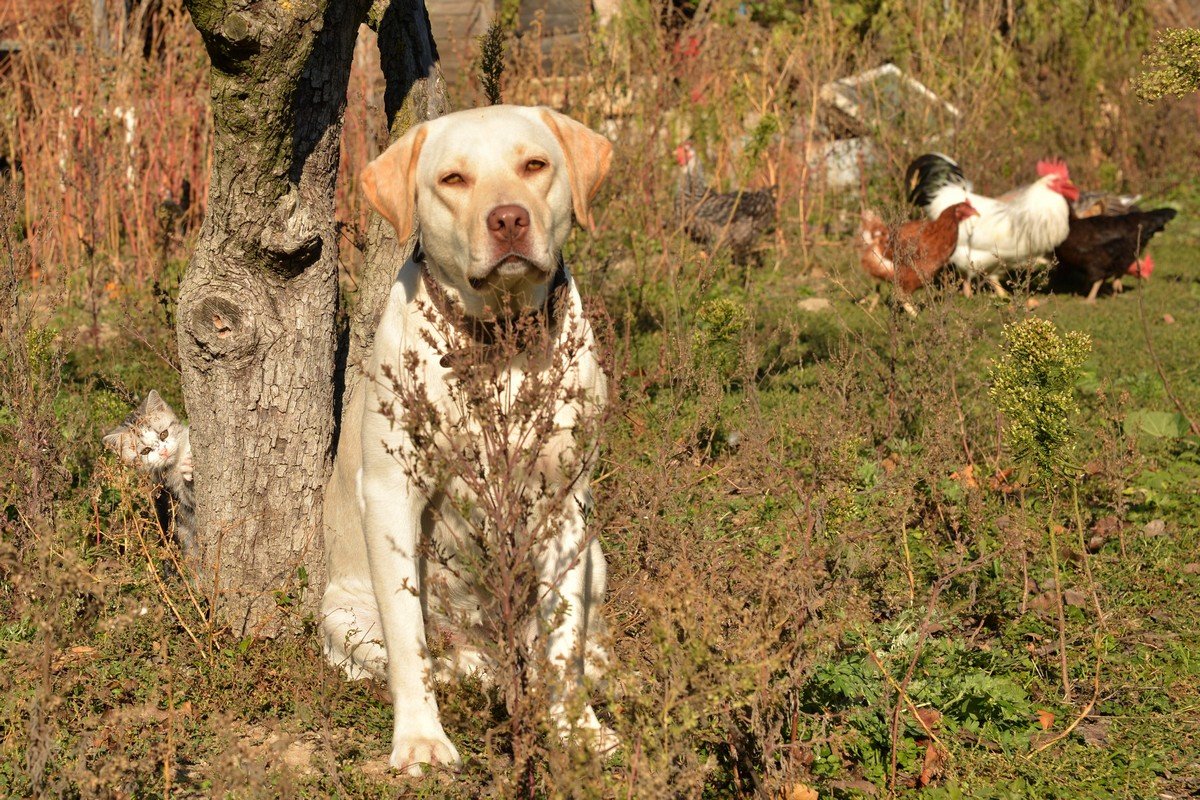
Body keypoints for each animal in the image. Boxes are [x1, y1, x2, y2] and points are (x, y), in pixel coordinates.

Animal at [319, 106, 614, 777]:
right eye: (453, 179)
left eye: (535, 164)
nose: (508, 219)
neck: (499, 341)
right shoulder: (392, 493)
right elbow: (410, 639)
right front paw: (421, 739)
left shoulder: (567, 501)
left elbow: (565, 637)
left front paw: (573, 729)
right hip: (342, 615)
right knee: (431, 657)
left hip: (597, 554)